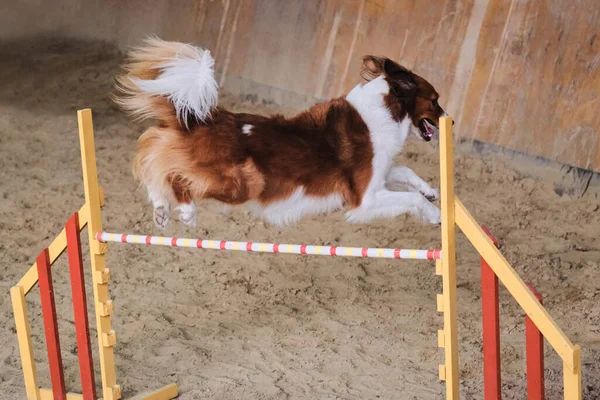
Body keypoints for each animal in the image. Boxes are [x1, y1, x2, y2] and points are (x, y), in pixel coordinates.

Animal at [115, 39, 448, 230]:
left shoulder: (379, 176)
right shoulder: (365, 198)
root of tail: (202, 117)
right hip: (244, 183)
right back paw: (186, 211)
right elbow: (410, 198)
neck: (384, 109)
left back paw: (161, 210)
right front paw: (436, 215)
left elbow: (405, 171)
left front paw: (431, 191)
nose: (450, 120)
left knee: (156, 173)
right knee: (175, 176)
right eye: (435, 100)